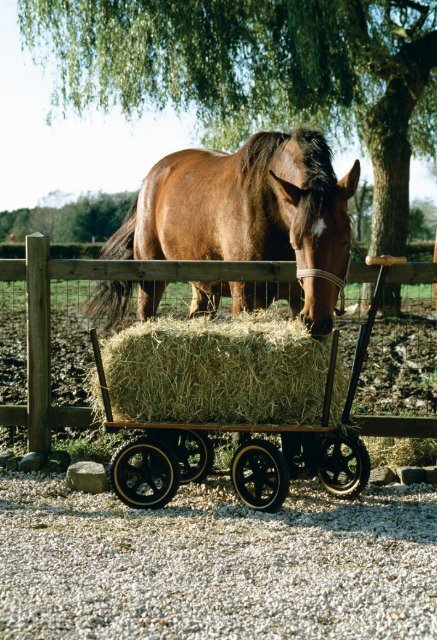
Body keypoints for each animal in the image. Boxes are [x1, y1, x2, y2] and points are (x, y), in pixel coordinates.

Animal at [90, 124, 360, 336]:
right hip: (151, 281)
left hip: (203, 286)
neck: (267, 204)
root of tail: (150, 179)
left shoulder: (300, 299)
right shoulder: (246, 299)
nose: (318, 321)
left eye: (346, 240)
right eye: (297, 242)